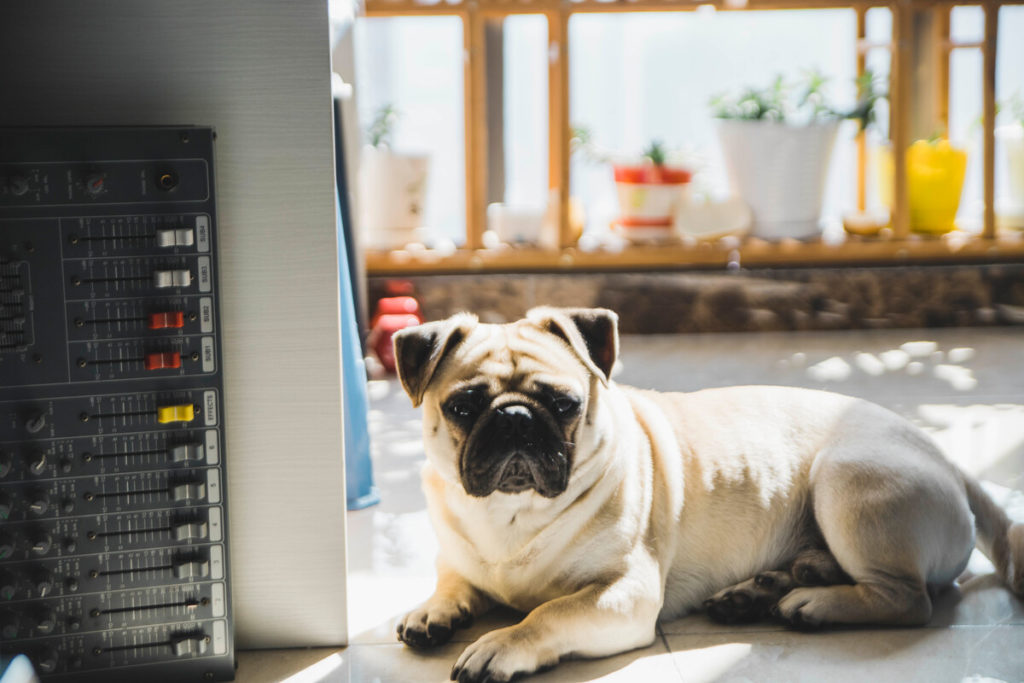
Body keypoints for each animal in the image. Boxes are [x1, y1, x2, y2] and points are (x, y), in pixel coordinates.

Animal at [391, 309, 1024, 683]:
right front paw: (433, 609)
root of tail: (948, 458)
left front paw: (504, 642)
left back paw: (812, 604)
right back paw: (767, 590)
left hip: (845, 480)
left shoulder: (623, 594)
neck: (511, 514)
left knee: (910, 599)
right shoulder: (458, 558)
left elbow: (548, 613)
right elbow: (453, 582)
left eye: (565, 404)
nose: (516, 419)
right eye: (463, 407)